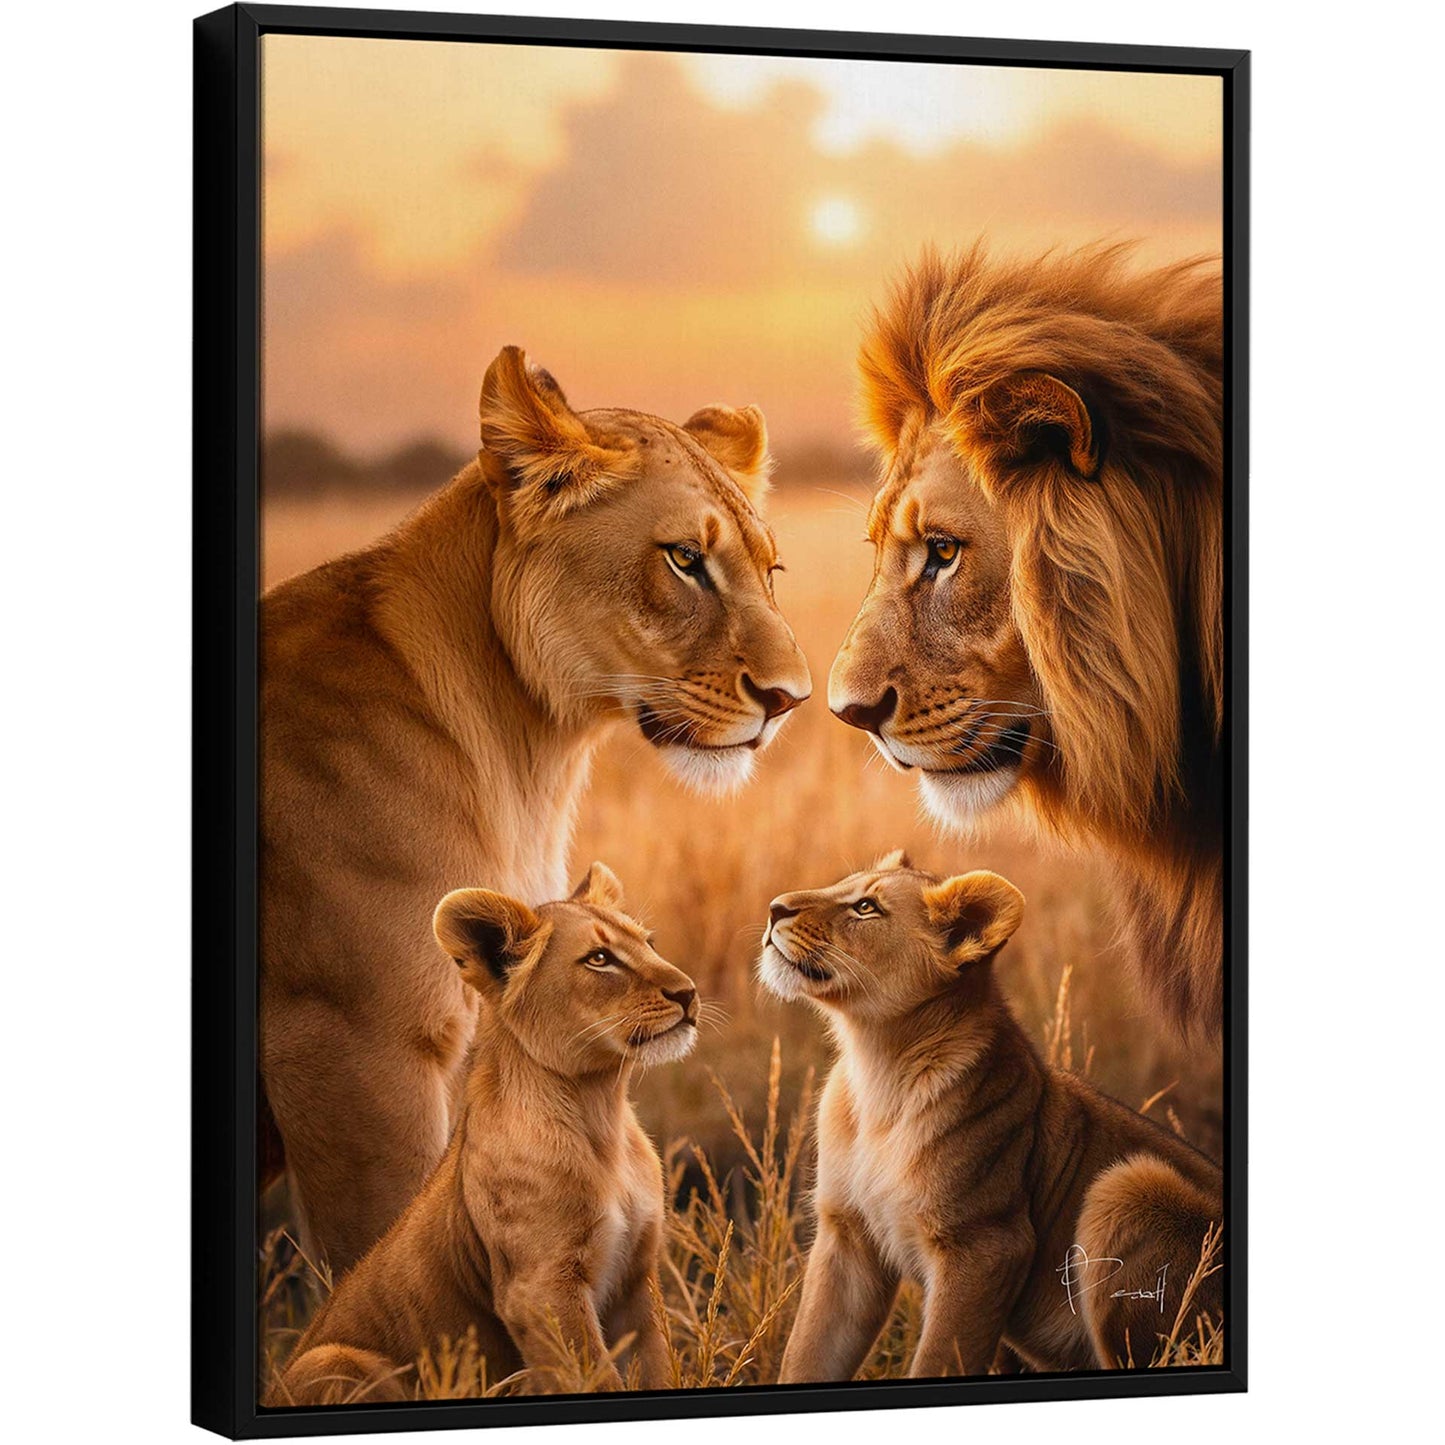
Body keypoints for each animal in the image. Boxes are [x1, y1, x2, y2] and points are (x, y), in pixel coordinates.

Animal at [266, 863, 697, 1407]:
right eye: (600, 959)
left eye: (649, 944)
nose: (688, 992)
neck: (600, 1109)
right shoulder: (539, 1290)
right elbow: (593, 1376)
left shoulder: (637, 1279)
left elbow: (659, 1368)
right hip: (333, 1359)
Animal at [758, 853, 1223, 1381]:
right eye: (846, 886)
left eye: (865, 907)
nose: (774, 908)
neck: (878, 1067)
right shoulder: (847, 1237)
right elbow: (807, 1354)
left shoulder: (987, 1247)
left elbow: (939, 1359)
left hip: (1128, 1186)